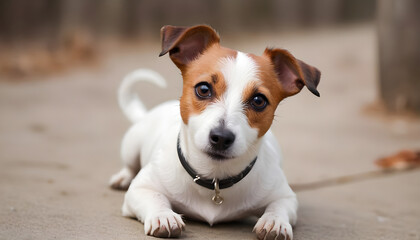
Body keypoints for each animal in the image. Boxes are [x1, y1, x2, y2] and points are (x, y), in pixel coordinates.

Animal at [110, 24, 320, 240]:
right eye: (203, 89)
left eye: (258, 100)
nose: (221, 138)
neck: (215, 179)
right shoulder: (141, 189)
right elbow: (154, 197)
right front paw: (163, 216)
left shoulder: (284, 196)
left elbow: (279, 206)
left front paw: (274, 221)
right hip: (131, 146)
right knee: (130, 166)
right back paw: (122, 177)